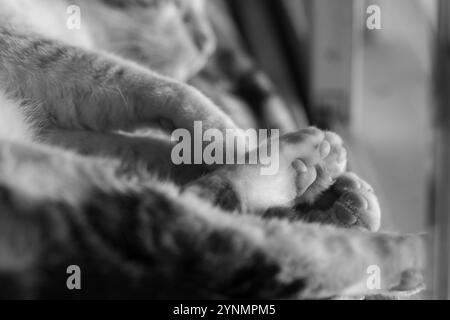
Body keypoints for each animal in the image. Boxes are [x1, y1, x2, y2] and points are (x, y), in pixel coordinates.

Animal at [0, 0, 426, 298]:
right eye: (181, 10)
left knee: (211, 203)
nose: (209, 43)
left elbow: (149, 149)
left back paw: (332, 202)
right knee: (234, 241)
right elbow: (169, 90)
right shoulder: (31, 51)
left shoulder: (49, 124)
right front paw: (243, 144)